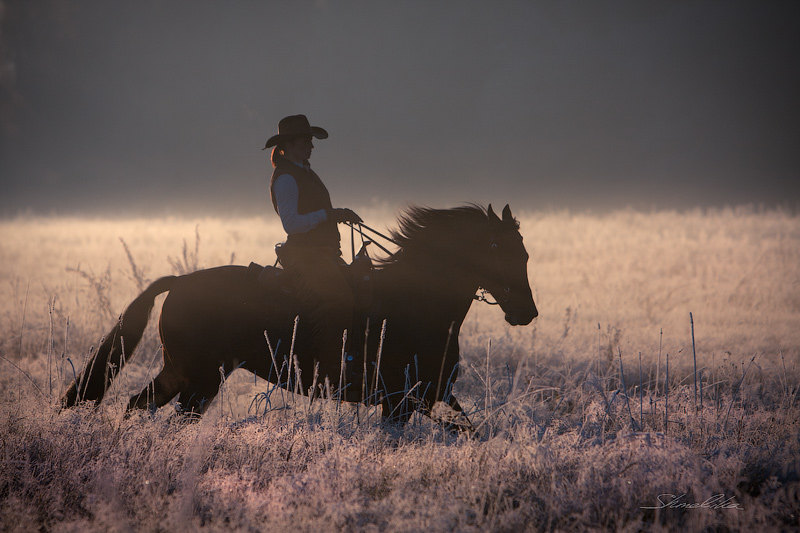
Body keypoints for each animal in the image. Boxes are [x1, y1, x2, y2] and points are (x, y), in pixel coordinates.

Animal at [62, 204, 536, 428]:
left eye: (525, 253)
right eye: (501, 250)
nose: (526, 312)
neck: (418, 303)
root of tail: (178, 281)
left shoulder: (430, 397)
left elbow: (473, 431)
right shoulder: (399, 402)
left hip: (181, 372)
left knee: (137, 404)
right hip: (201, 379)